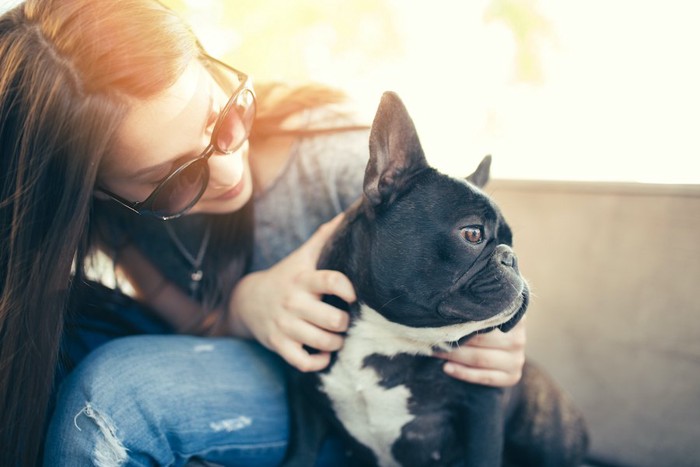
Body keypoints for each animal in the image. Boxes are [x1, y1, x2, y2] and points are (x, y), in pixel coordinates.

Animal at [284, 92, 584, 467]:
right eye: (473, 233)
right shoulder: (303, 391)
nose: (511, 257)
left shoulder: (482, 410)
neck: (387, 337)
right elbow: (301, 452)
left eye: (512, 242)